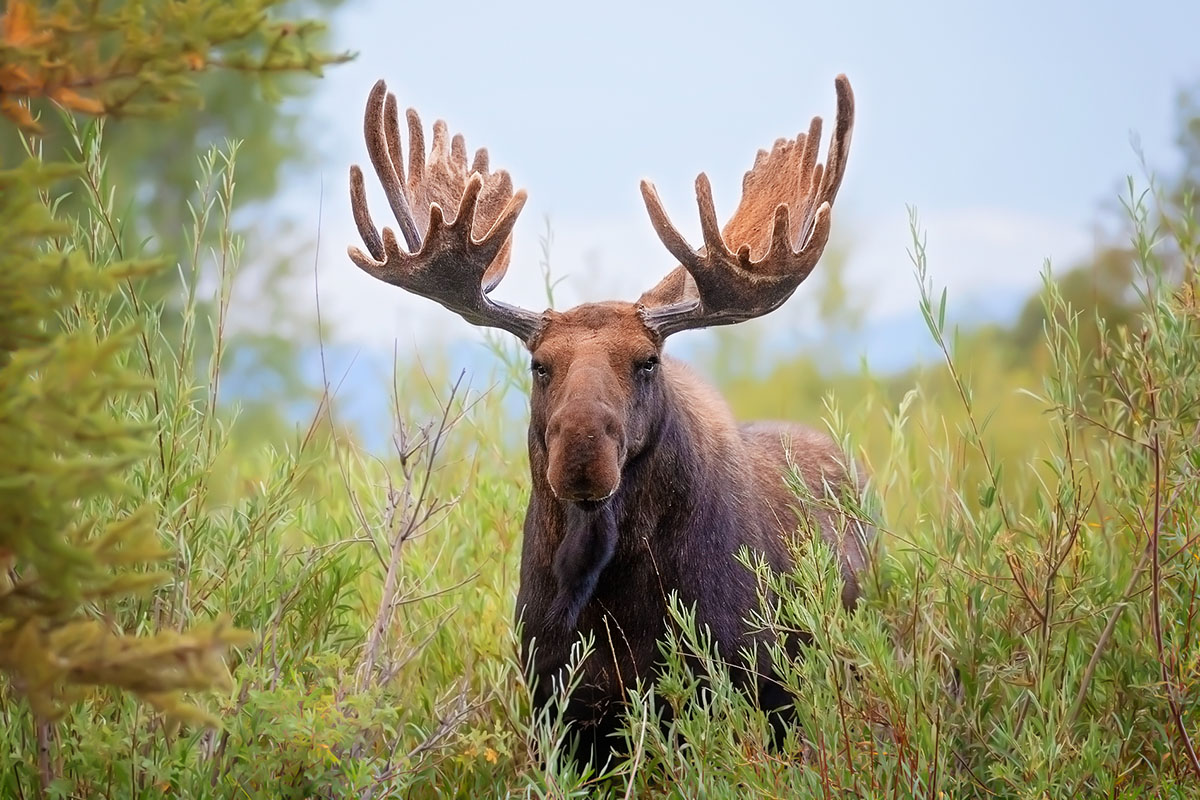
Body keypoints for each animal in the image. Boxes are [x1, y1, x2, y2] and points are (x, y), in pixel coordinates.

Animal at [347, 75, 872, 769]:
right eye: (540, 364)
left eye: (648, 361)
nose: (581, 452)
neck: (607, 588)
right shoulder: (559, 708)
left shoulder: (742, 689)